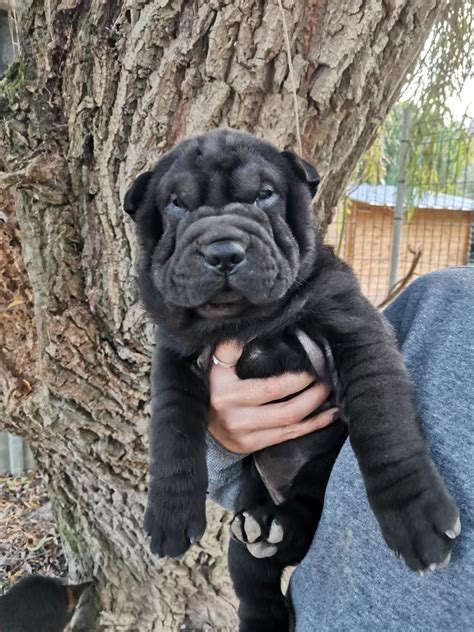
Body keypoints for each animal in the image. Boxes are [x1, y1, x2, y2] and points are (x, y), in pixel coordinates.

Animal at [124, 130, 462, 632]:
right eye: (176, 205)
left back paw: (277, 529)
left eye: (265, 195)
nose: (223, 252)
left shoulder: (354, 329)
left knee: (300, 524)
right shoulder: (174, 358)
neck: (244, 322)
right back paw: (265, 537)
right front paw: (168, 514)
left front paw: (415, 514)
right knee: (255, 582)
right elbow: (171, 432)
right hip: (245, 537)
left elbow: (384, 426)